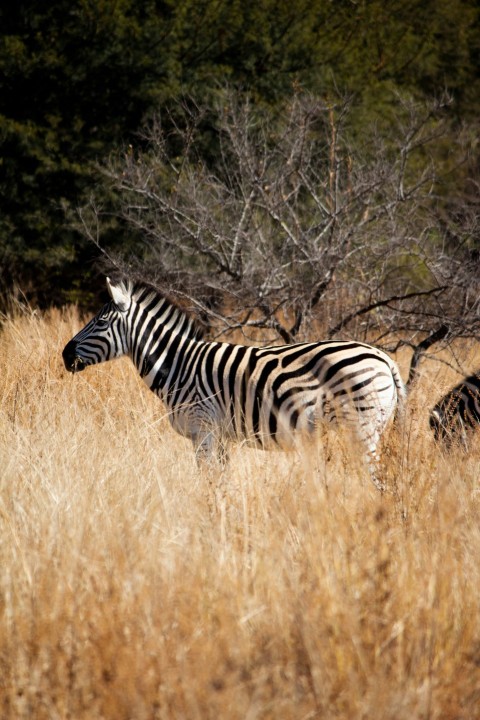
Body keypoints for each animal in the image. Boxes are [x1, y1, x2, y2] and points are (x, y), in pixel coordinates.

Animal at [62, 276, 404, 484]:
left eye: (100, 322)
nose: (64, 355)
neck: (178, 364)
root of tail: (384, 358)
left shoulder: (203, 430)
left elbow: (207, 481)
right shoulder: (220, 436)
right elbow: (222, 481)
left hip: (361, 428)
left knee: (378, 482)